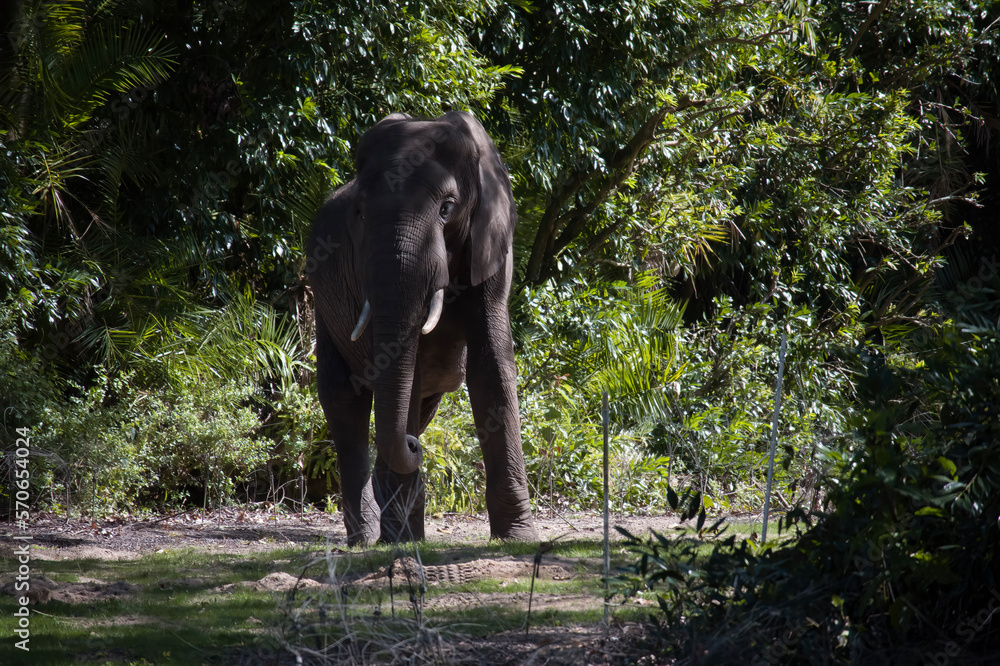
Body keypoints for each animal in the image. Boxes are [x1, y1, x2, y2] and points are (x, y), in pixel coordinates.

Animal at [306, 111, 539, 546]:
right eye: (360, 214)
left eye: (447, 208)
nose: (415, 447)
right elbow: (403, 373)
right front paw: (402, 540)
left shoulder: (493, 247)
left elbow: (492, 367)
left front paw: (517, 538)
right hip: (322, 303)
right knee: (344, 399)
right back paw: (368, 537)